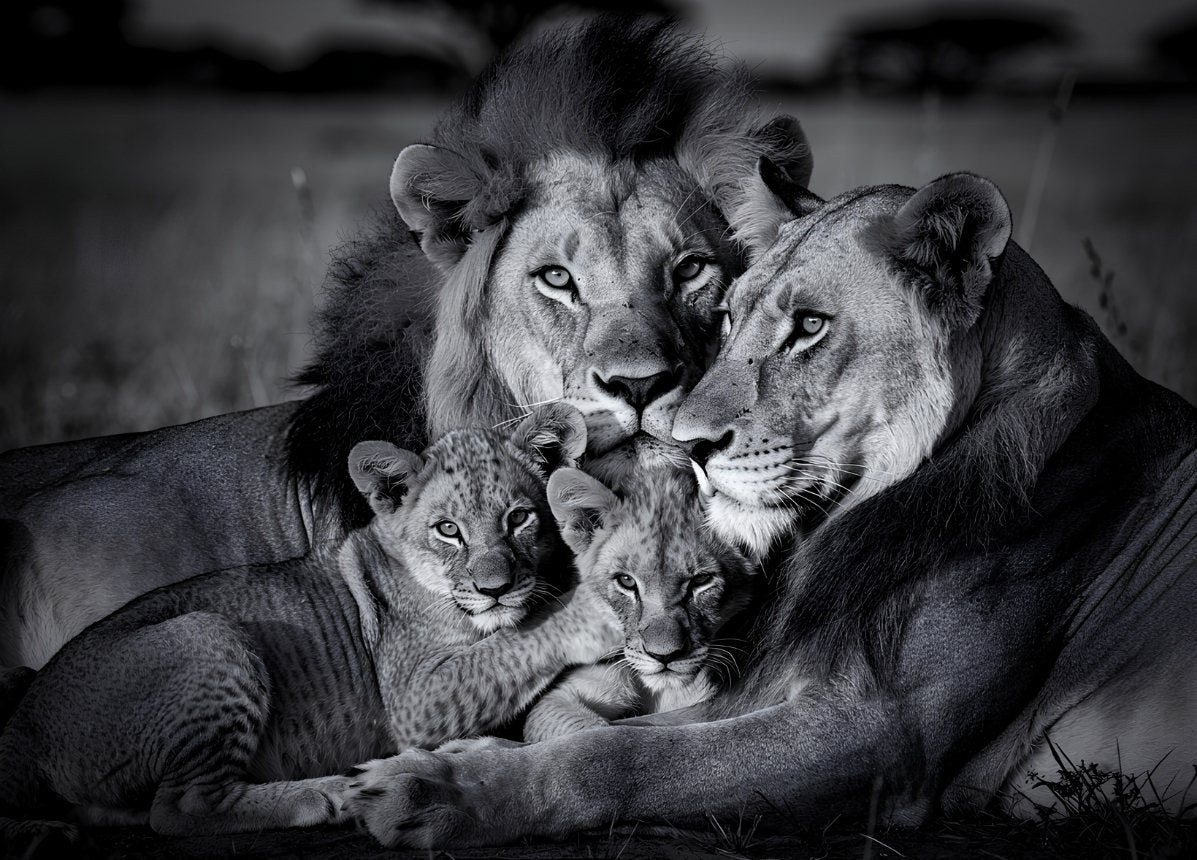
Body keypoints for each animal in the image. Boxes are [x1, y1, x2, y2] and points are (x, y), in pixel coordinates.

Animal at [341, 165, 1197, 847]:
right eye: (728, 314)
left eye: (809, 326)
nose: (686, 443)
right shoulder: (778, 687)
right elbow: (618, 726)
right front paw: (468, 754)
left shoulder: (886, 739)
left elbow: (625, 757)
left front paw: (442, 790)